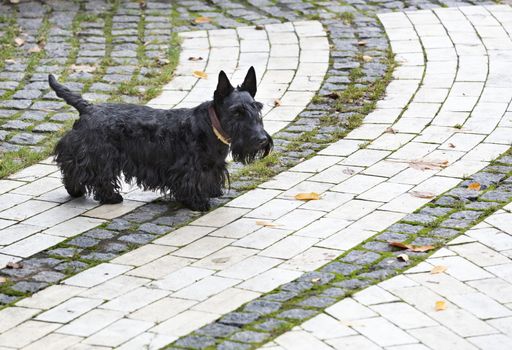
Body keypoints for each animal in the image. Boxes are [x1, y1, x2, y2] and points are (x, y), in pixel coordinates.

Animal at [48, 67, 272, 211]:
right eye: (236, 112)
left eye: (258, 108)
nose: (262, 140)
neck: (211, 127)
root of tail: (88, 108)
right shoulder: (188, 168)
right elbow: (191, 183)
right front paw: (198, 202)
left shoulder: (212, 166)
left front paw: (213, 192)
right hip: (97, 156)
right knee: (86, 172)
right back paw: (106, 196)